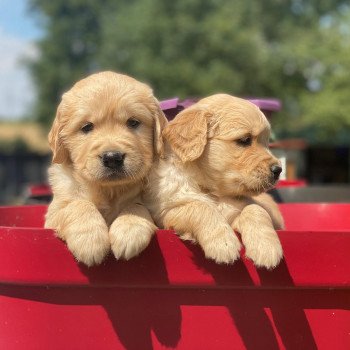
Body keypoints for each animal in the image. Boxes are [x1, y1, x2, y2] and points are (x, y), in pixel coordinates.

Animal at [44, 72, 167, 266]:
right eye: (87, 127)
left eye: (133, 122)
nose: (112, 158)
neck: (110, 191)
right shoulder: (54, 213)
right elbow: (77, 204)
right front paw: (90, 240)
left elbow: (136, 205)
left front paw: (129, 229)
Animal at [145, 94, 284, 270]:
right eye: (245, 140)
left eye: (266, 143)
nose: (278, 170)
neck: (212, 191)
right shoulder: (165, 213)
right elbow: (199, 206)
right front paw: (223, 243)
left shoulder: (238, 211)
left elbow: (255, 208)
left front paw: (266, 247)